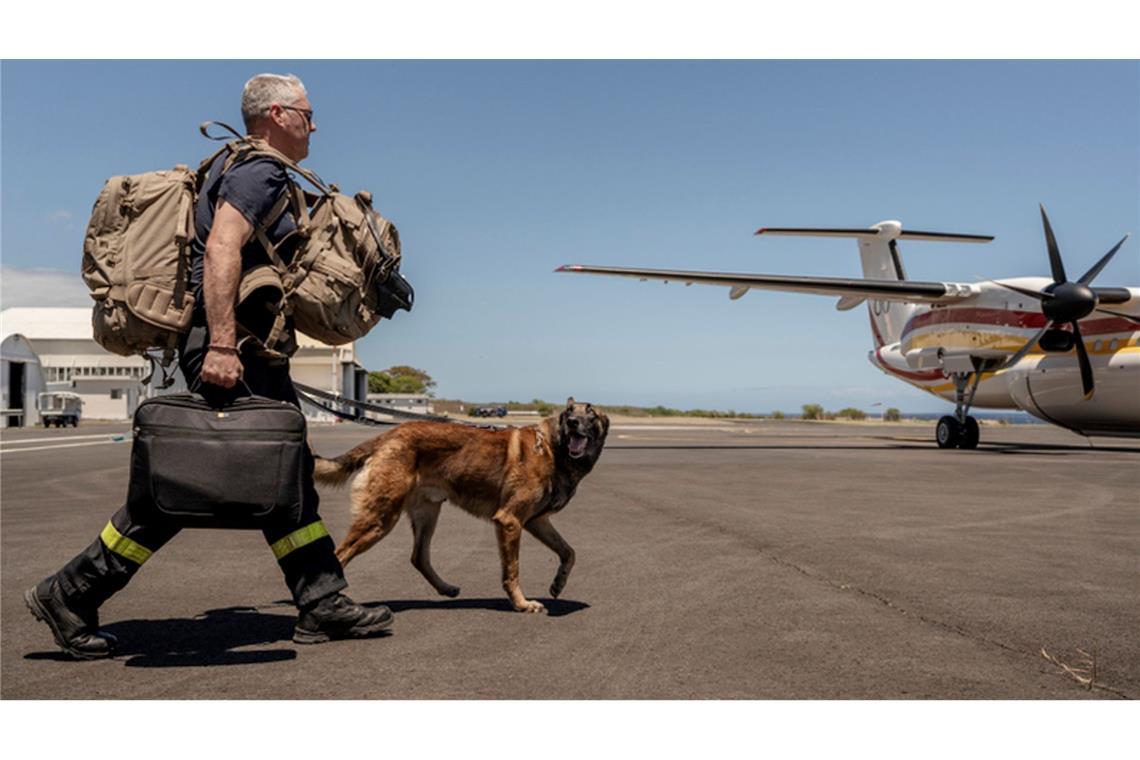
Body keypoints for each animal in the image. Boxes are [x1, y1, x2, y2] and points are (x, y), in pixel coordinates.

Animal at [314, 398, 606, 610]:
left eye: (591, 413)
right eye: (569, 412)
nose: (572, 422)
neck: (551, 447)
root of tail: (388, 436)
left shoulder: (537, 522)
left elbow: (569, 552)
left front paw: (558, 583)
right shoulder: (510, 521)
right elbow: (512, 570)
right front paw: (521, 604)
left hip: (427, 515)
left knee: (418, 557)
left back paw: (445, 588)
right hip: (380, 520)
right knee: (341, 554)